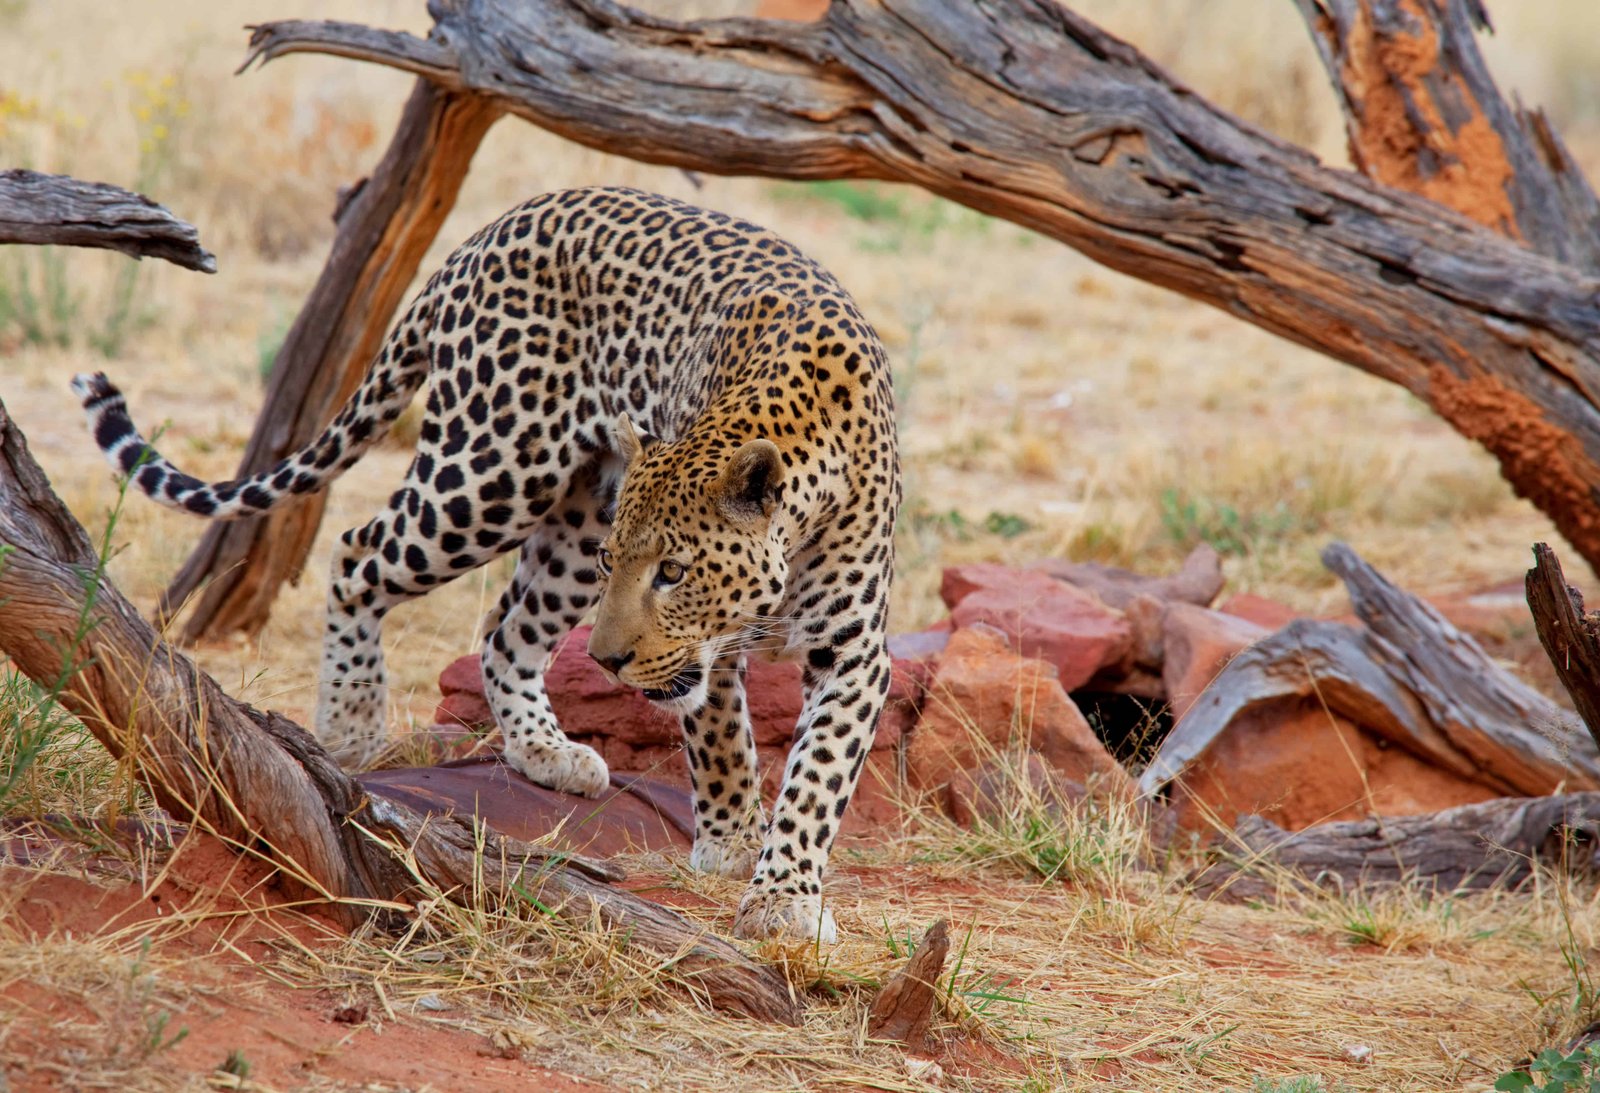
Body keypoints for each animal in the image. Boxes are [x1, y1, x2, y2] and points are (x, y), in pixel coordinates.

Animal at [71, 186, 900, 941]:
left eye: (672, 572)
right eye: (627, 562)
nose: (610, 661)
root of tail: (484, 233)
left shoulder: (852, 652)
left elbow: (818, 777)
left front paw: (782, 893)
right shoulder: (710, 647)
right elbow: (722, 734)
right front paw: (735, 847)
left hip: (569, 516)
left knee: (507, 631)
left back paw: (545, 750)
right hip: (493, 473)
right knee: (359, 551)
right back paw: (351, 725)